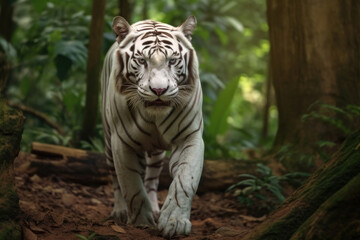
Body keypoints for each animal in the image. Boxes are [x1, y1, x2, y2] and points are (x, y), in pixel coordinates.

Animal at [101, 15, 204, 237]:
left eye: (172, 60)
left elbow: (185, 181)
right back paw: (120, 211)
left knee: (151, 179)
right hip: (108, 142)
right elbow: (131, 184)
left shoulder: (190, 136)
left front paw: (175, 222)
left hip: (156, 155)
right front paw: (141, 221)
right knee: (115, 178)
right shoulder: (121, 141)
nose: (158, 90)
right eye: (142, 61)